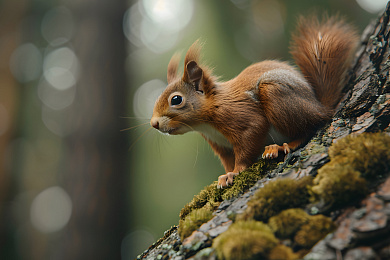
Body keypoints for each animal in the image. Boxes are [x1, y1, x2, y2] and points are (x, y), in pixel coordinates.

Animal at [151, 15, 358, 187]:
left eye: (176, 99)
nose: (154, 124)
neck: (206, 122)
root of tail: (320, 106)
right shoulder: (220, 144)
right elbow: (228, 160)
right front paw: (225, 175)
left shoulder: (240, 117)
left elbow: (249, 140)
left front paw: (235, 172)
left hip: (277, 96)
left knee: (308, 128)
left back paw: (281, 146)